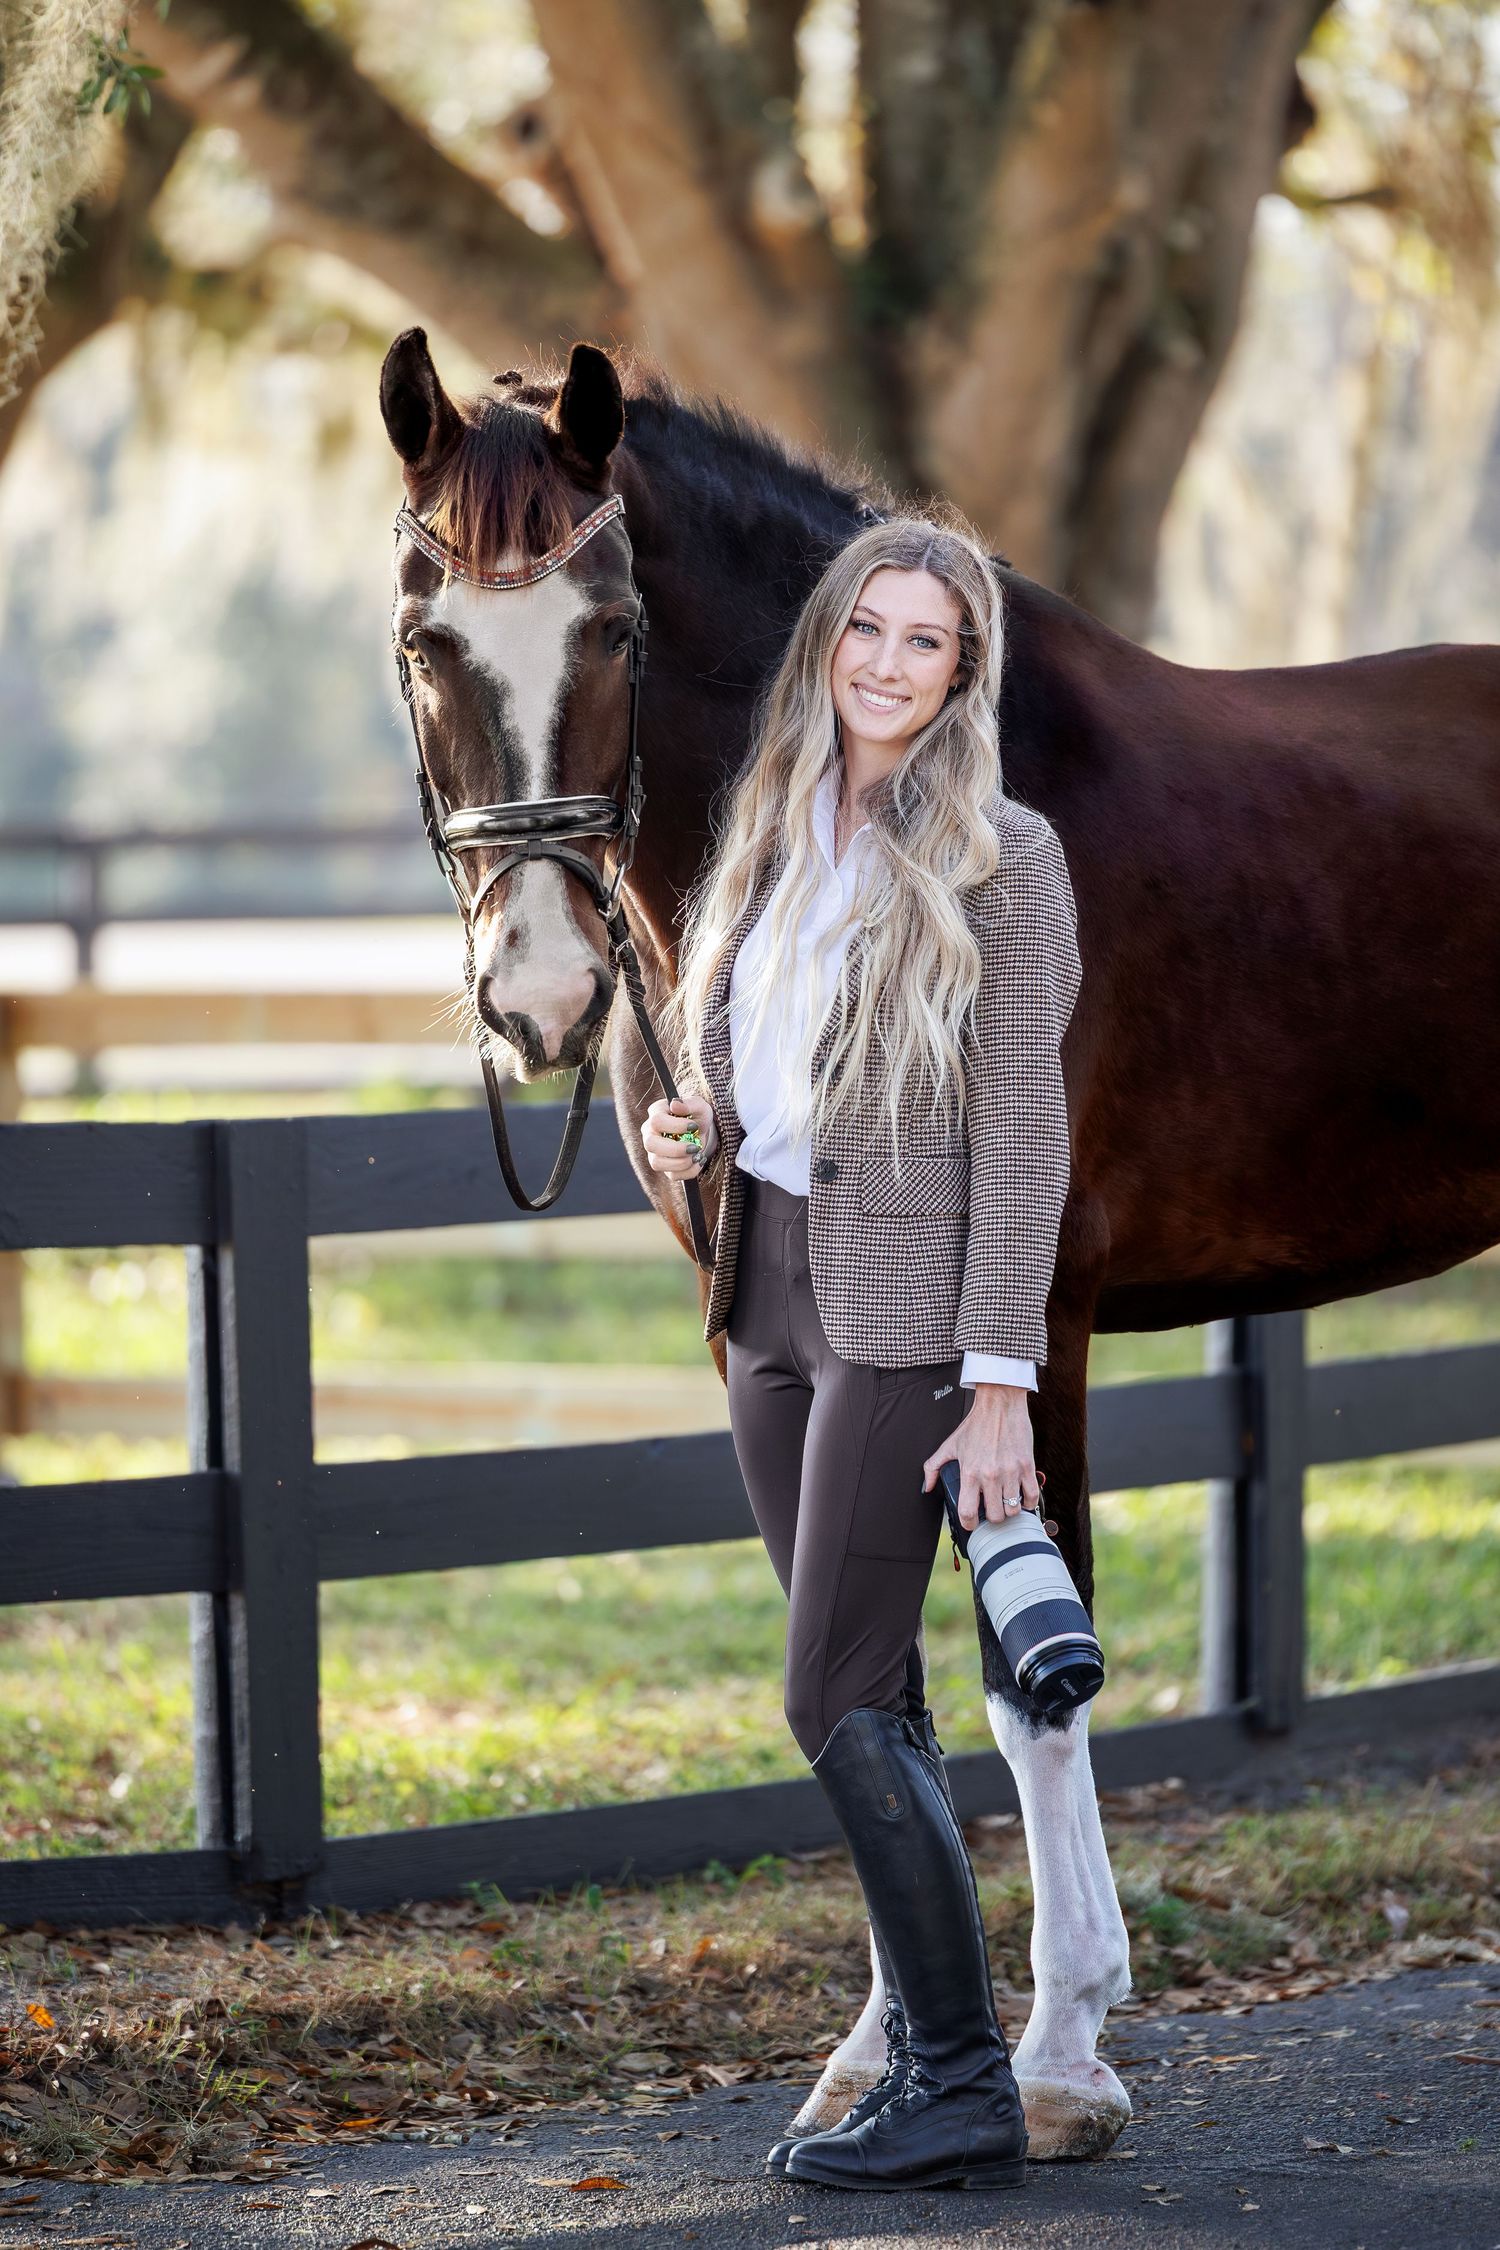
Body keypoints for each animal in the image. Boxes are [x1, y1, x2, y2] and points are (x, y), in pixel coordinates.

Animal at [379, 329, 1500, 2160]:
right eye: (426, 641)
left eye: (610, 629)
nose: (540, 993)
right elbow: (861, 1658)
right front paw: (886, 2052)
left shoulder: (1027, 1317)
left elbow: (1020, 1676)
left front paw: (1056, 2057)